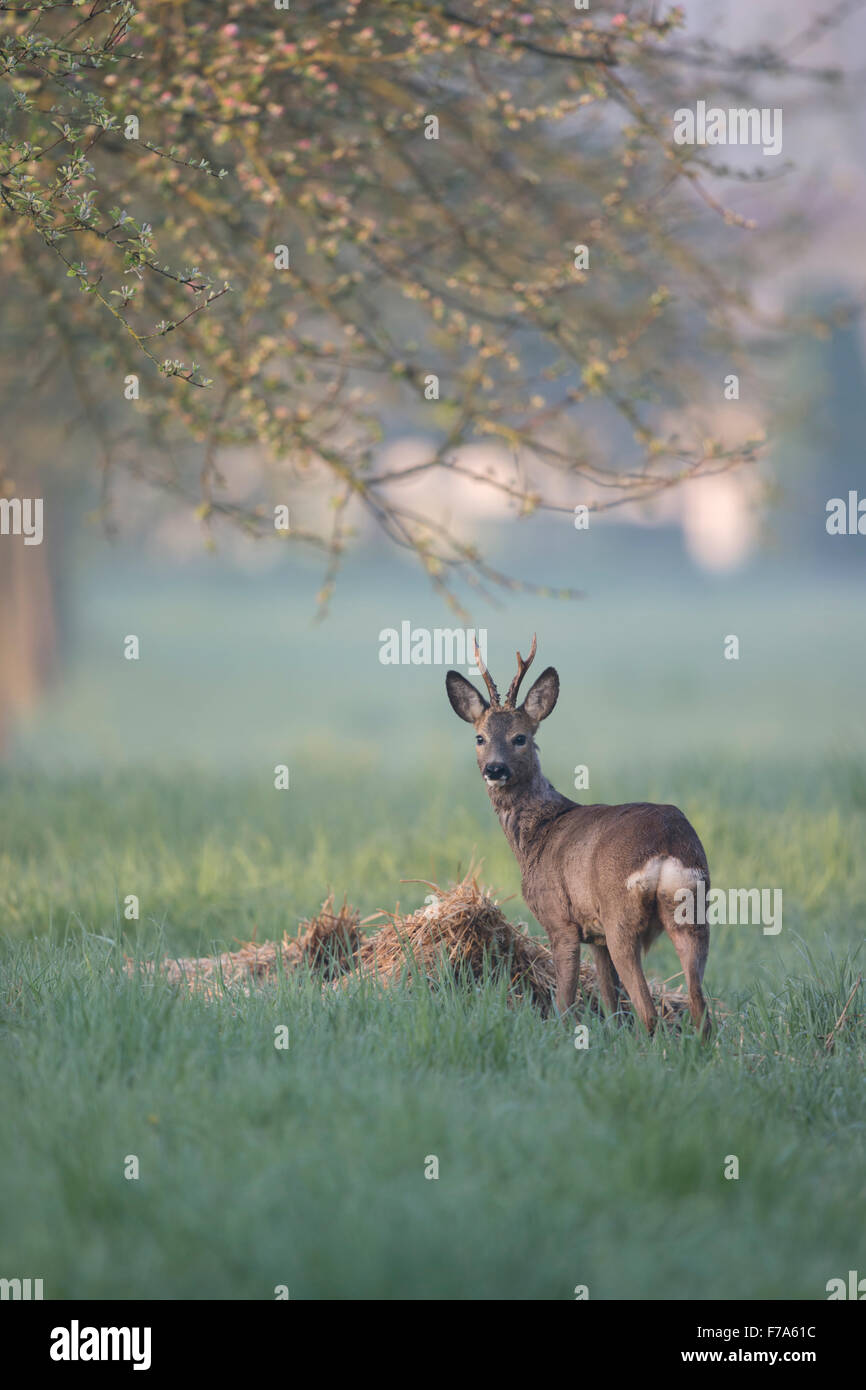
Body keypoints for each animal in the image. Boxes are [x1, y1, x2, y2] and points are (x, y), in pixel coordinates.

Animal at [447, 636, 711, 1034]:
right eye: (480, 737)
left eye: (520, 737)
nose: (495, 769)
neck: (537, 833)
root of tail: (666, 847)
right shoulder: (596, 935)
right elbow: (610, 1004)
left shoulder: (561, 920)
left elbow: (564, 1002)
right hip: (693, 913)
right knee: (700, 1009)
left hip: (622, 918)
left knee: (648, 1012)